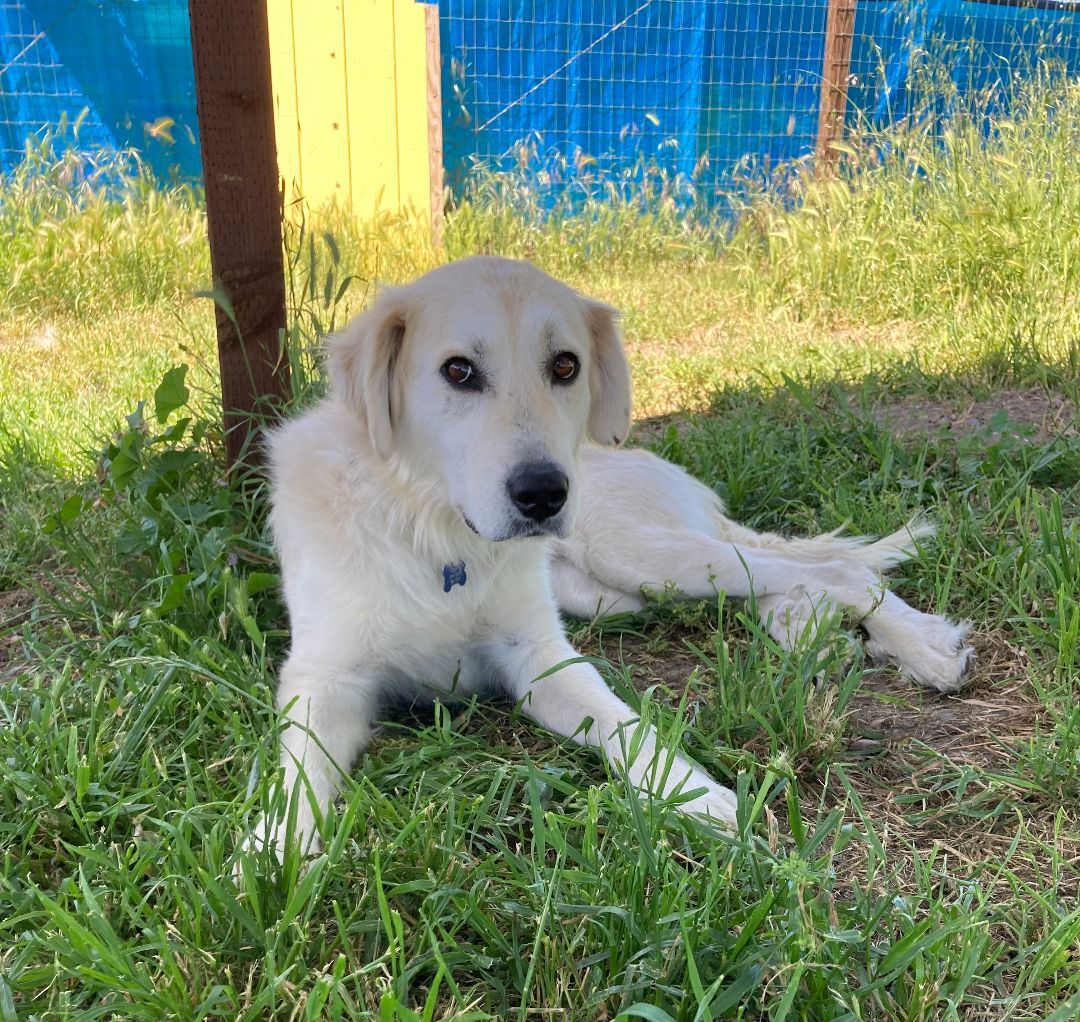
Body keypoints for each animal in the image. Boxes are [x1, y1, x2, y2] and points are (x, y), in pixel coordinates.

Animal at [245, 256, 972, 861]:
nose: (543, 494)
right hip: (614, 592)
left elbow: (628, 727)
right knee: (788, 582)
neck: (435, 535)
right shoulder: (324, 679)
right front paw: (274, 848)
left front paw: (691, 794)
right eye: (457, 370)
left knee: (835, 569)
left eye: (565, 366)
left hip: (641, 557)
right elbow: (299, 771)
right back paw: (811, 632)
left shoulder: (542, 659)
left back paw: (923, 647)